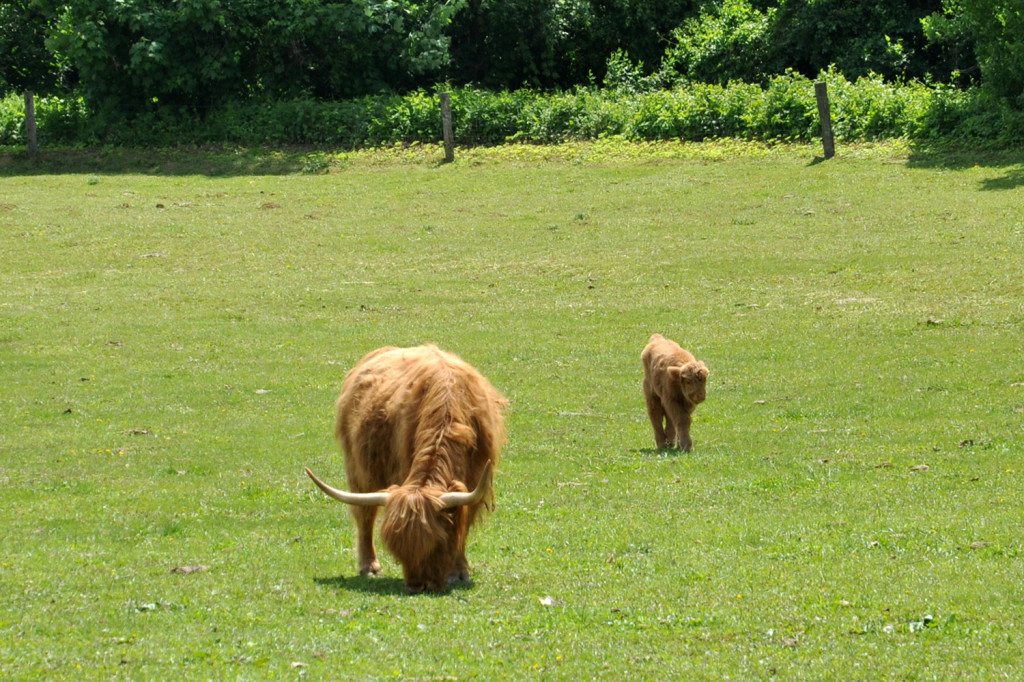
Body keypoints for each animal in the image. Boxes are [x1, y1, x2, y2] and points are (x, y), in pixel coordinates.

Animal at [305, 346, 509, 589]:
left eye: (437, 543)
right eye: (398, 550)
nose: (418, 585)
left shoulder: (477, 480)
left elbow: (464, 523)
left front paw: (458, 571)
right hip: (358, 469)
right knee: (364, 515)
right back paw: (369, 566)